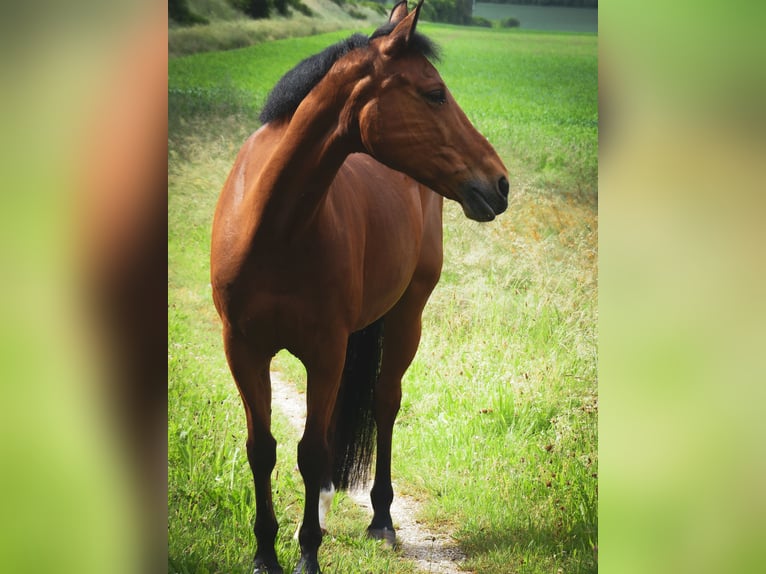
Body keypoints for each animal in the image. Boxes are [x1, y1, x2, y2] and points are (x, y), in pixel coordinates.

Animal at [210, 2, 508, 572]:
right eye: (434, 93)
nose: (501, 183)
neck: (274, 228)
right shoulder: (243, 349)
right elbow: (263, 449)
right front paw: (265, 553)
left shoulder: (325, 351)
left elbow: (310, 451)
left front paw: (308, 553)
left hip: (407, 316)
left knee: (384, 402)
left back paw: (382, 520)